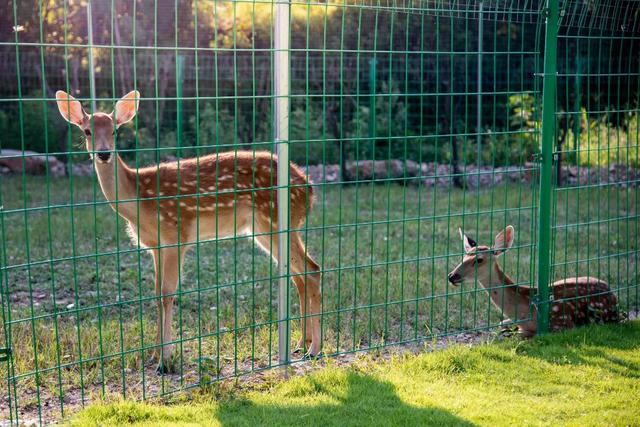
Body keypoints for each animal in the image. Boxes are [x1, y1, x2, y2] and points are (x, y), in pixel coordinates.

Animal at [57, 91, 322, 374]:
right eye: (87, 131)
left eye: (115, 131)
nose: (104, 153)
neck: (140, 201)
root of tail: (309, 189)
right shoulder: (154, 246)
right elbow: (155, 293)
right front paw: (154, 354)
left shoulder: (176, 234)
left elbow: (167, 294)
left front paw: (165, 361)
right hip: (264, 229)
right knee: (298, 274)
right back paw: (301, 342)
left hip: (275, 221)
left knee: (312, 269)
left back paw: (314, 349)